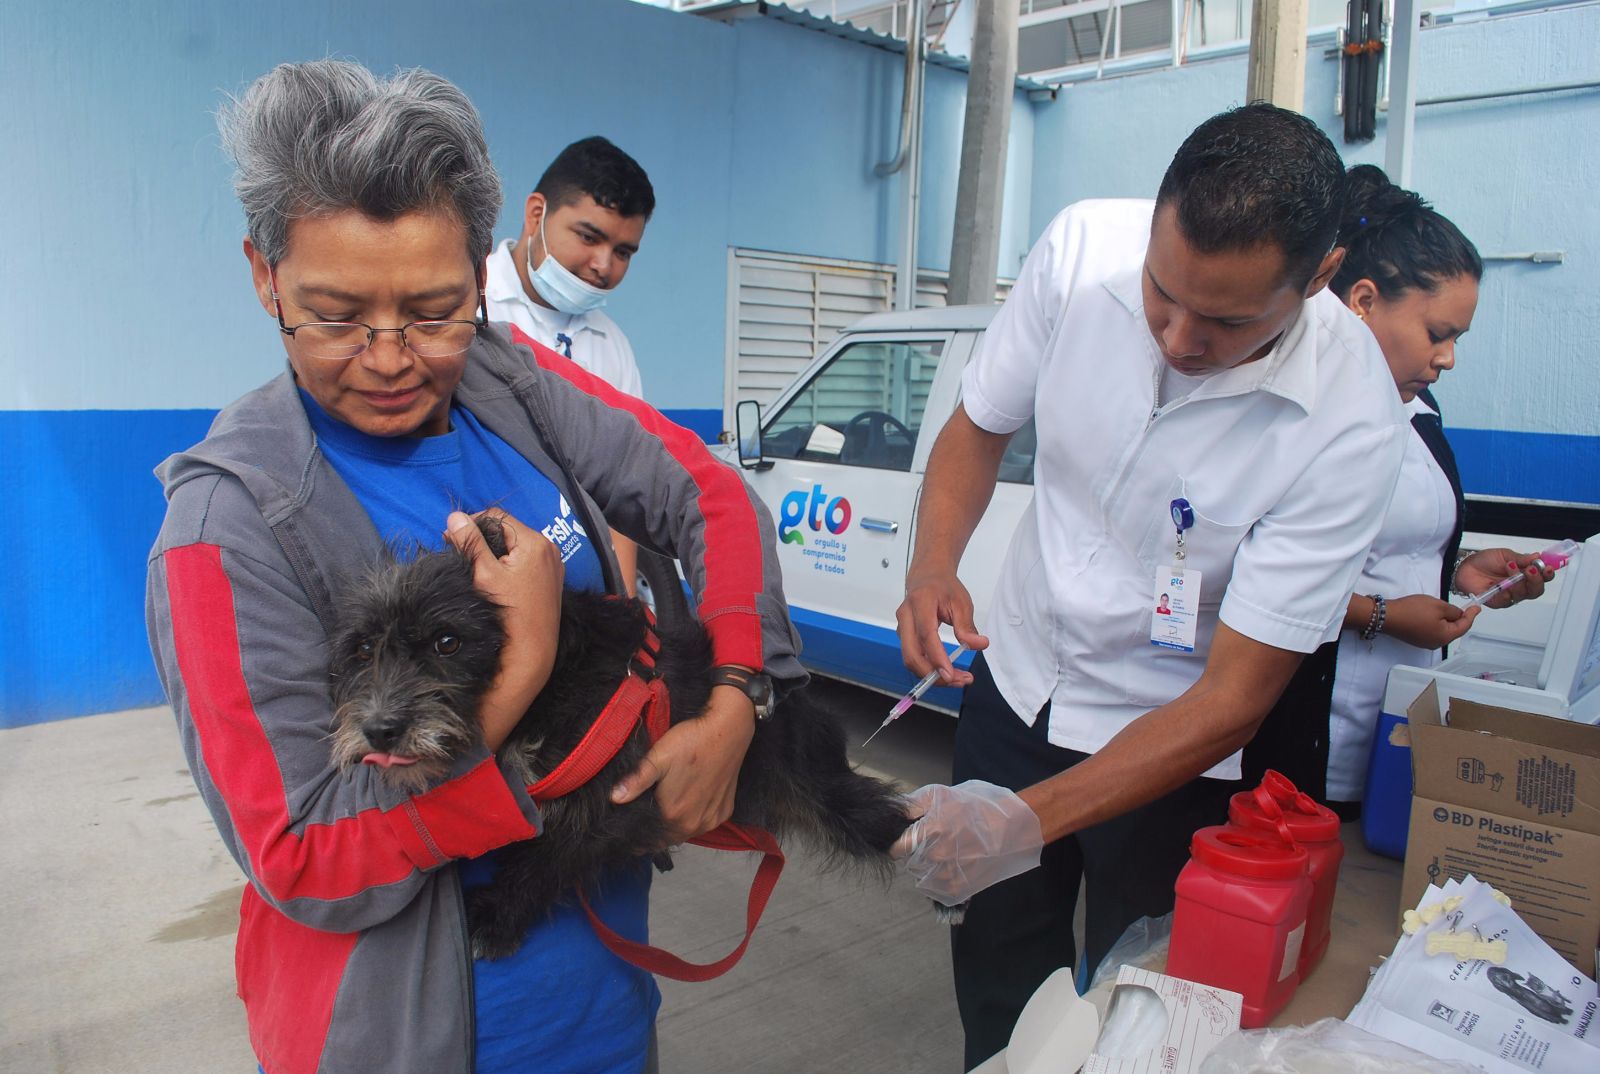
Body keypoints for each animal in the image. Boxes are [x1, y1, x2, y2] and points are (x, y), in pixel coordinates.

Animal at [324, 521, 915, 960]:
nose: (379, 729)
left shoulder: (618, 797)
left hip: (829, 791)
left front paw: (496, 914)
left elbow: (556, 853)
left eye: (448, 642)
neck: (549, 686)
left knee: (883, 815)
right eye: (363, 649)